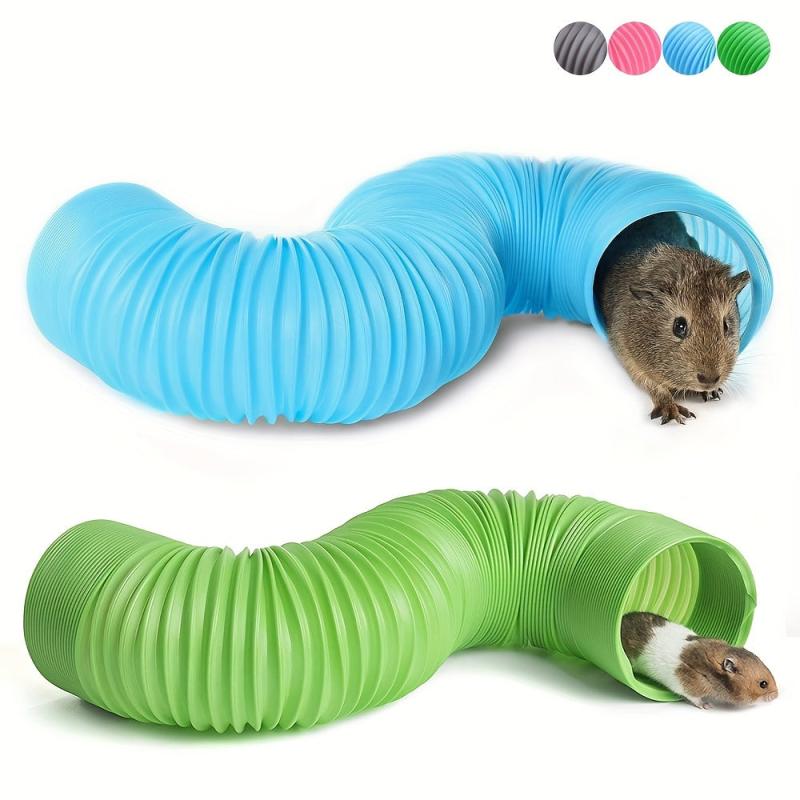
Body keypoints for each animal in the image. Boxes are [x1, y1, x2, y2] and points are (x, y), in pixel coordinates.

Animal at [595, 213, 751, 424]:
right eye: (679, 326)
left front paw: (712, 393)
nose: (710, 380)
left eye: (726, 326)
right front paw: (673, 414)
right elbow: (654, 386)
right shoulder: (627, 355)